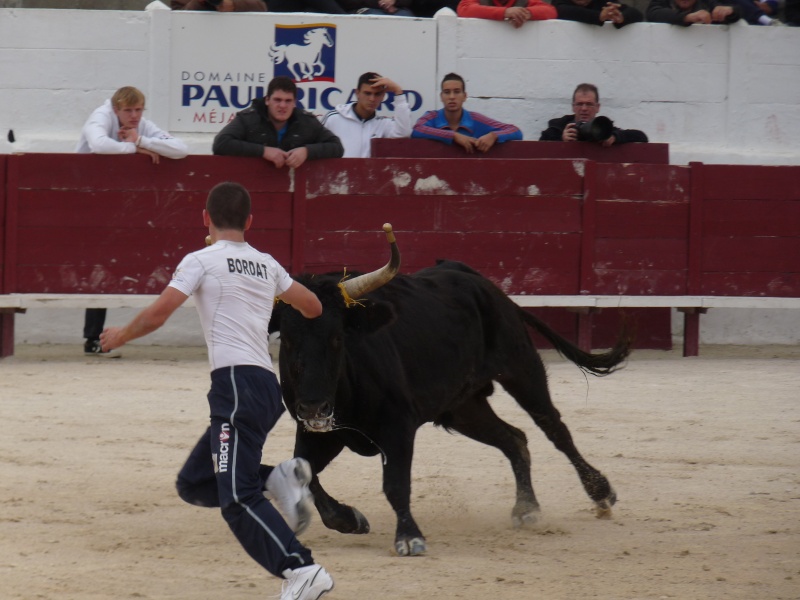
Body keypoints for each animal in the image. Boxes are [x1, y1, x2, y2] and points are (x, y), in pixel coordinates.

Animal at [276, 232, 632, 556]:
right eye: (288, 339)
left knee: (554, 428)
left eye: (337, 337)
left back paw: (600, 493)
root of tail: (474, 277)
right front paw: (351, 520)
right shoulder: (318, 433)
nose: (314, 407)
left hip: (522, 368)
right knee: (514, 438)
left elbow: (395, 483)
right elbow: (303, 474)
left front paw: (409, 537)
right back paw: (526, 508)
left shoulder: (397, 426)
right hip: (462, 408)